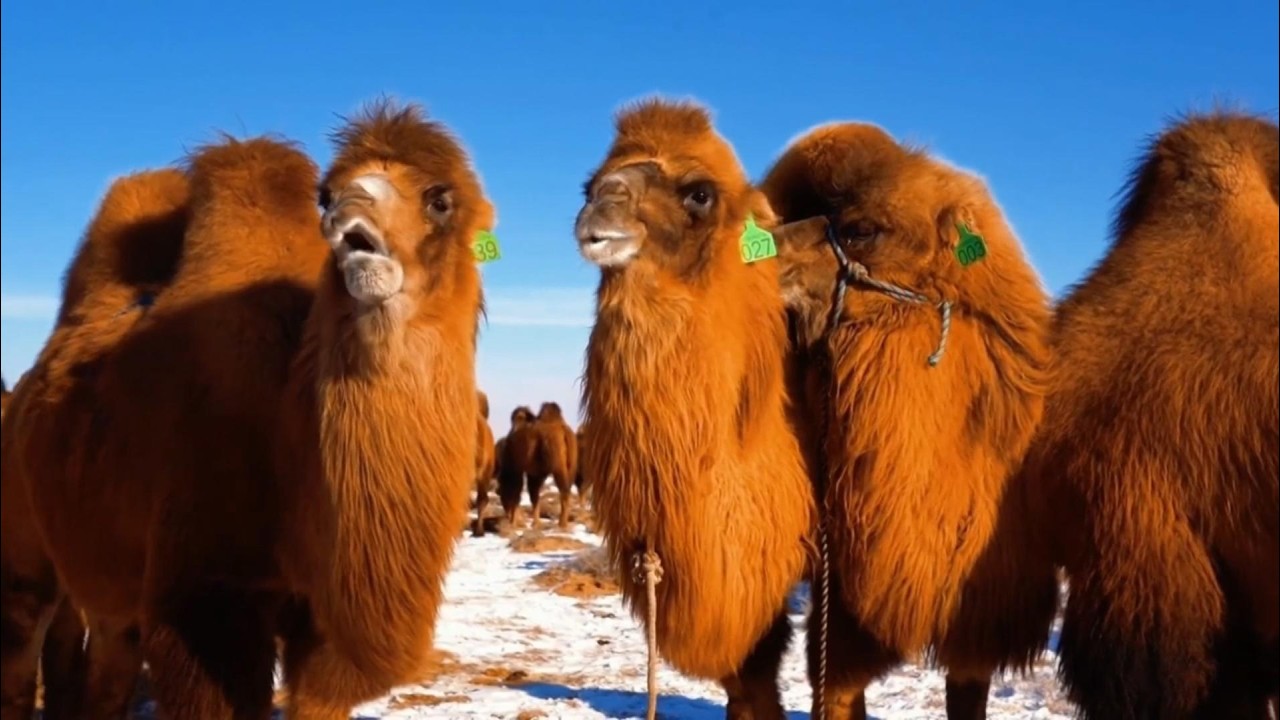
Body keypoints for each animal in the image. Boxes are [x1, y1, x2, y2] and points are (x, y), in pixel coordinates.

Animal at [1, 98, 491, 719]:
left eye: (439, 198)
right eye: (327, 195)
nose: (351, 225)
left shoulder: (316, 626)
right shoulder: (205, 601)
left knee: (108, 659)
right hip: (24, 550)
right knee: (20, 646)